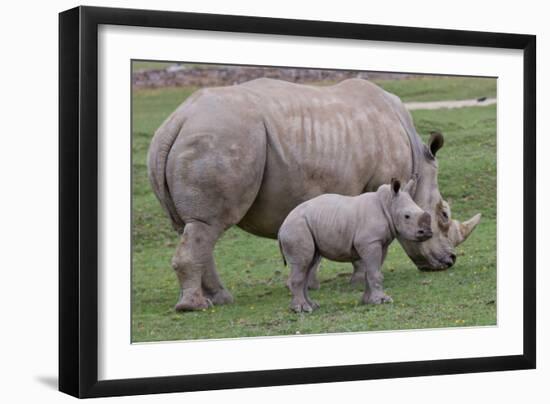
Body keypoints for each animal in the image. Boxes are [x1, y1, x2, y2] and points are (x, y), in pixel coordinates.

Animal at [282, 178, 434, 314]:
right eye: (407, 216)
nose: (427, 232)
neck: (388, 204)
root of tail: (283, 224)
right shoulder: (370, 242)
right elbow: (374, 272)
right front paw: (382, 301)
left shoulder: (380, 243)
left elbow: (371, 271)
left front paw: (368, 301)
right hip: (296, 227)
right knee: (303, 263)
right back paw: (302, 309)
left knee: (309, 263)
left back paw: (312, 306)